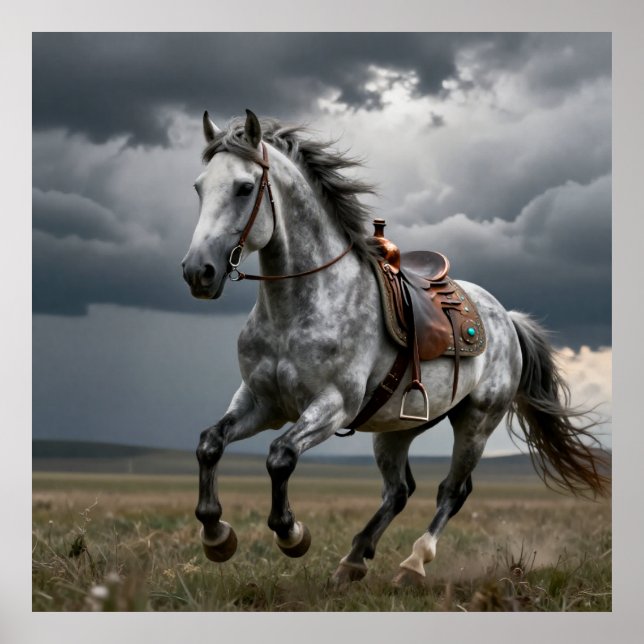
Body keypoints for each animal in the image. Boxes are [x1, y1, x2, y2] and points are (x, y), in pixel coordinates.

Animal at [181, 109, 609, 586]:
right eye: (199, 186)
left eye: (243, 187)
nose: (198, 271)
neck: (295, 310)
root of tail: (506, 319)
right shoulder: (261, 402)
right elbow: (209, 443)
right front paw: (216, 534)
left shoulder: (332, 406)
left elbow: (280, 456)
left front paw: (292, 534)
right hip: (397, 429)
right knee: (399, 491)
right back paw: (353, 560)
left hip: (476, 422)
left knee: (452, 491)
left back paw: (413, 564)